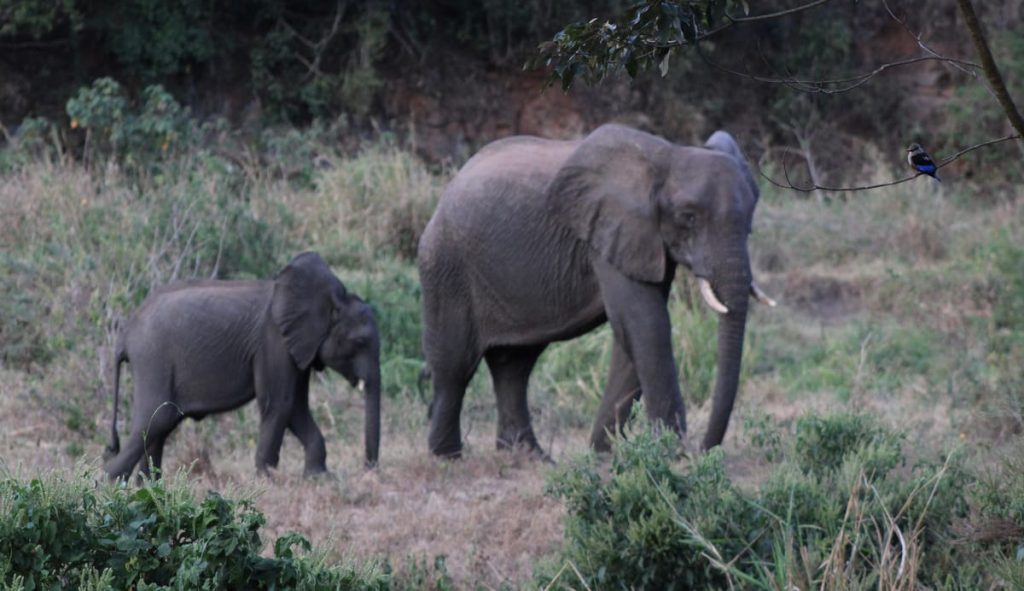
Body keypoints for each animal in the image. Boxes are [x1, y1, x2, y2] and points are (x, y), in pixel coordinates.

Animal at [103, 251, 381, 480]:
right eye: (359, 342)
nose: (368, 469)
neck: (329, 300)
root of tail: (125, 334)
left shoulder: (297, 345)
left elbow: (296, 405)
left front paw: (319, 478)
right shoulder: (274, 339)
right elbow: (280, 402)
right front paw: (267, 480)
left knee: (158, 427)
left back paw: (147, 486)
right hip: (153, 360)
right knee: (157, 419)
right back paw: (109, 483)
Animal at [417, 124, 774, 458]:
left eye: (750, 219)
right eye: (688, 217)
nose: (702, 449)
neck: (667, 157)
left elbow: (635, 332)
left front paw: (604, 454)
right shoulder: (609, 230)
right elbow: (647, 324)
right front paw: (670, 455)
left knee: (514, 365)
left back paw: (529, 458)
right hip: (446, 266)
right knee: (455, 367)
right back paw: (447, 458)